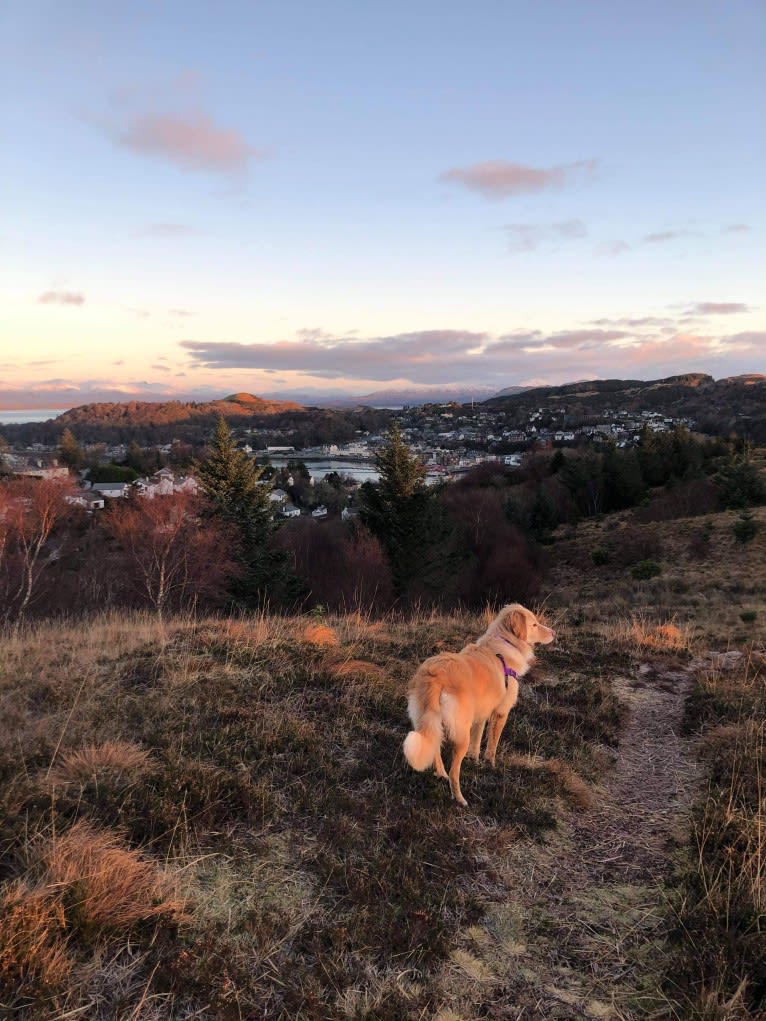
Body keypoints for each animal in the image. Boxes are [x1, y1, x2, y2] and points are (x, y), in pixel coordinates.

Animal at [402, 596, 559, 804]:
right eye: (534, 624)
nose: (554, 633)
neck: (505, 643)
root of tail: (434, 676)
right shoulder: (501, 712)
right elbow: (492, 744)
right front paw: (490, 764)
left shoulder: (481, 714)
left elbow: (477, 741)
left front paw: (475, 760)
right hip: (460, 732)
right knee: (455, 771)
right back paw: (459, 798)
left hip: (431, 721)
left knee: (434, 747)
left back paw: (441, 774)